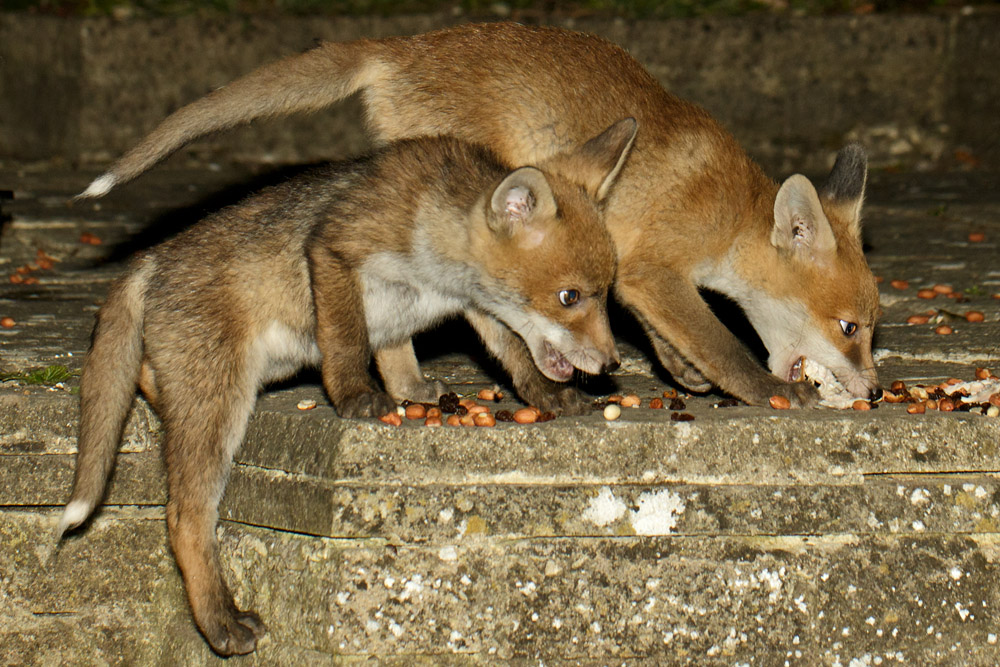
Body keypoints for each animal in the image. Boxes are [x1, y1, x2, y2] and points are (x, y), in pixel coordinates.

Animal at [58, 120, 637, 656]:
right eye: (568, 297)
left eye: (606, 293)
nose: (613, 362)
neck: (436, 262)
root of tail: (147, 260)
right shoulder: (337, 249)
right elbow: (345, 341)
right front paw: (357, 397)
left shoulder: (460, 307)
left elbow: (489, 355)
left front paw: (457, 393)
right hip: (222, 405)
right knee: (184, 518)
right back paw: (221, 620)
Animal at [79, 22, 882, 407]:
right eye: (851, 328)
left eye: (873, 329)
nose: (876, 389)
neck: (730, 209)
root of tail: (403, 45)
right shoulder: (654, 269)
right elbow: (723, 344)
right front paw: (766, 392)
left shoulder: (632, 279)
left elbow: (674, 341)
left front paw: (681, 375)